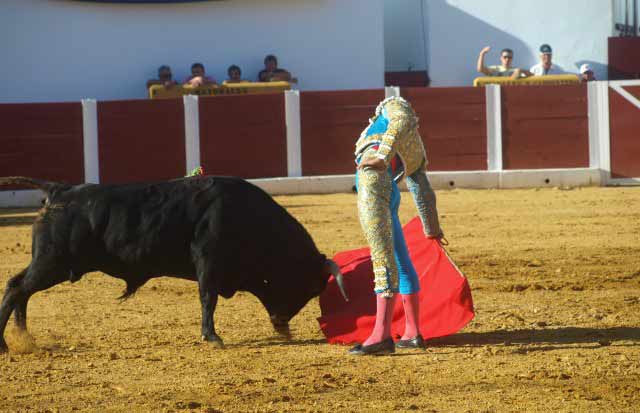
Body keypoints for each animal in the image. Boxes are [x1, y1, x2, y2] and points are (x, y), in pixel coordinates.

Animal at [0, 175, 344, 350]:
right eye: (307, 288)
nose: (283, 327)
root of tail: (58, 190)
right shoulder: (208, 261)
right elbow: (208, 298)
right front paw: (212, 337)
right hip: (52, 262)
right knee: (17, 287)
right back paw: (7, 345)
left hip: (49, 263)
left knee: (20, 288)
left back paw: (24, 338)